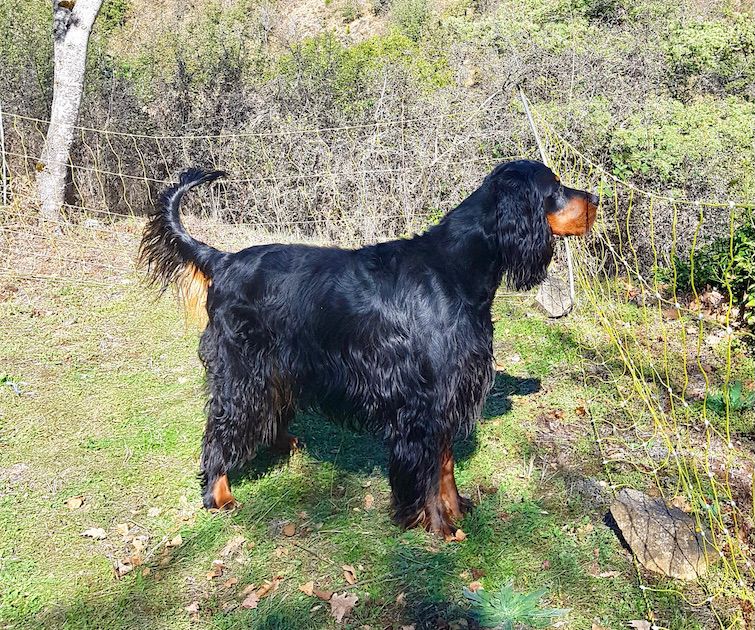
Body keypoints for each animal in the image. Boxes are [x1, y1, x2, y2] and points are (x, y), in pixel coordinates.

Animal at [137, 162, 596, 540]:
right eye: (555, 188)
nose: (596, 199)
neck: (455, 269)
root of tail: (223, 260)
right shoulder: (426, 403)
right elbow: (430, 470)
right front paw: (439, 526)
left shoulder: (450, 392)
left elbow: (445, 465)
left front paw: (456, 509)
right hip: (241, 370)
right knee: (220, 428)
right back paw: (219, 495)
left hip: (277, 366)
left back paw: (282, 444)